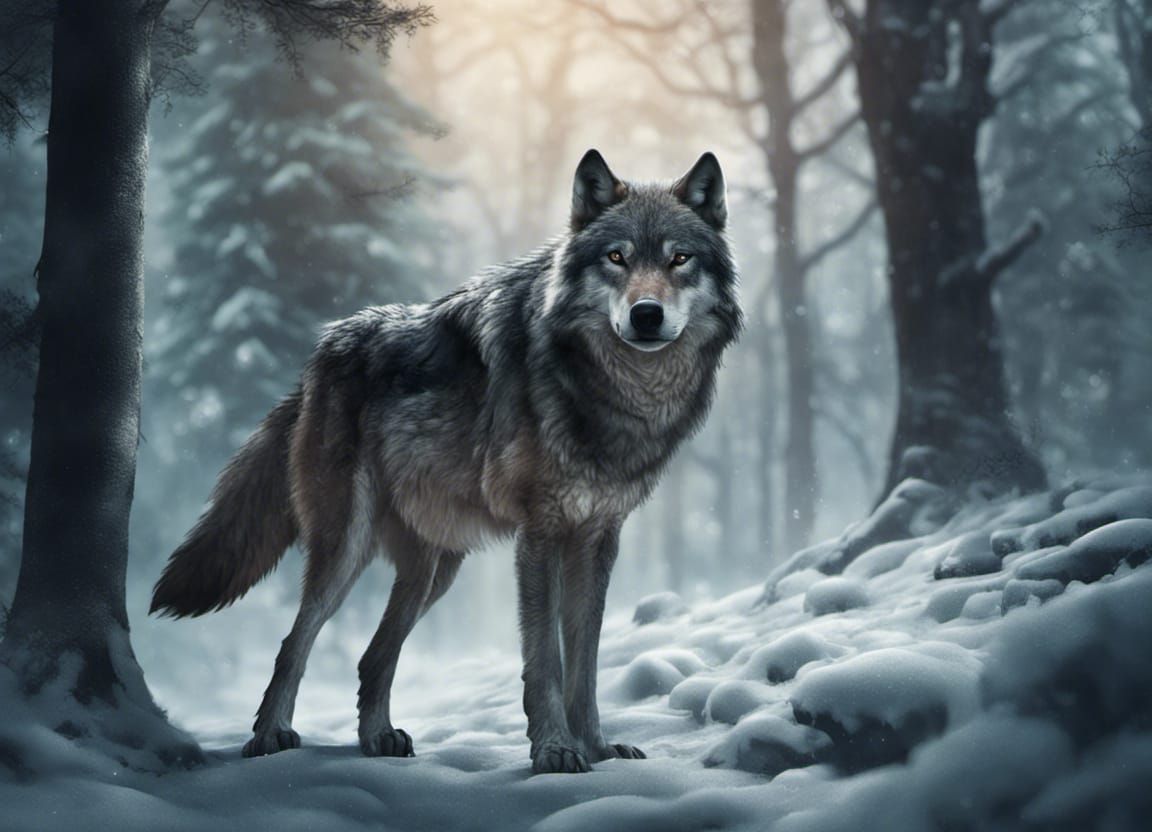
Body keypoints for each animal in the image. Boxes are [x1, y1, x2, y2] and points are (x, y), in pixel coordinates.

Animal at [151, 149, 742, 773]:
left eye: (679, 258)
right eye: (616, 258)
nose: (646, 314)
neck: (617, 391)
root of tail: (317, 362)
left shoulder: (598, 537)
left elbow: (586, 662)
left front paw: (599, 750)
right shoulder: (541, 533)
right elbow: (546, 661)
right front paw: (555, 750)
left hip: (436, 569)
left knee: (373, 656)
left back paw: (378, 739)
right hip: (348, 547)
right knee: (296, 641)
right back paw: (269, 737)